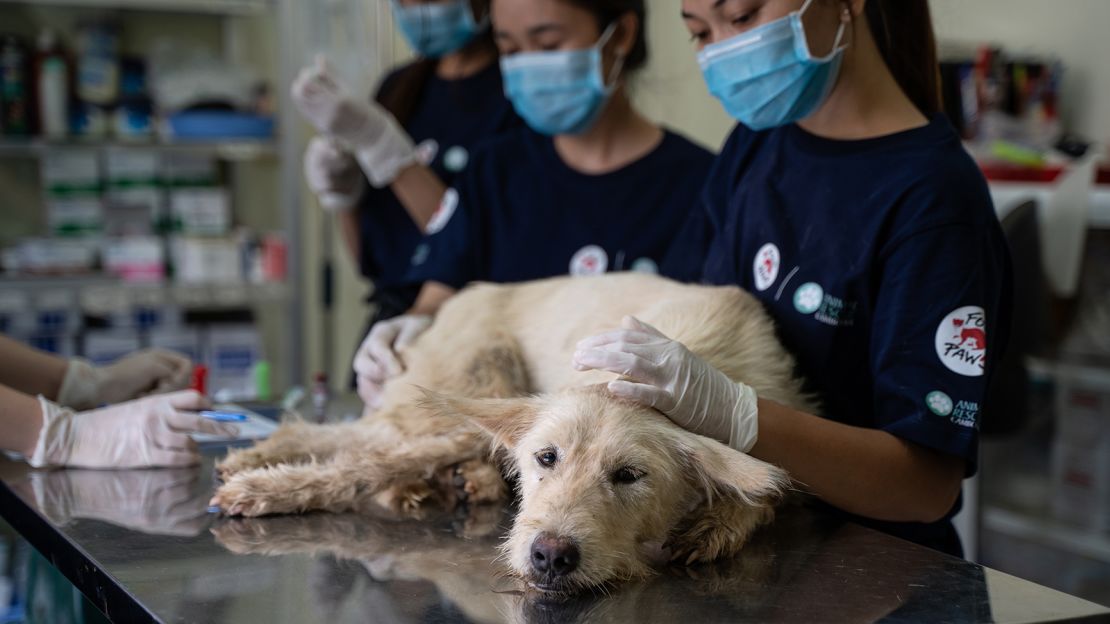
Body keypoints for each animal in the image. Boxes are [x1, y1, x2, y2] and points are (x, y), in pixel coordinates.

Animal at [209, 272, 816, 590]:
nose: (550, 556)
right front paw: (263, 490)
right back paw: (265, 459)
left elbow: (759, 490)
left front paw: (718, 523)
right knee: (369, 440)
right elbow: (364, 464)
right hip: (478, 381)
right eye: (546, 458)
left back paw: (461, 480)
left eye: (629, 475)